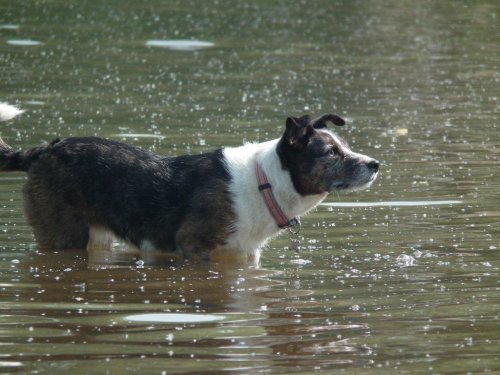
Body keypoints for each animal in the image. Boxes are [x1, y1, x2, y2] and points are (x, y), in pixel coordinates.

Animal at [0, 103, 378, 262]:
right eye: (330, 153)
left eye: (342, 147)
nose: (375, 164)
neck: (266, 182)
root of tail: (44, 150)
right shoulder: (194, 247)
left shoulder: (244, 253)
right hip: (65, 237)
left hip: (97, 237)